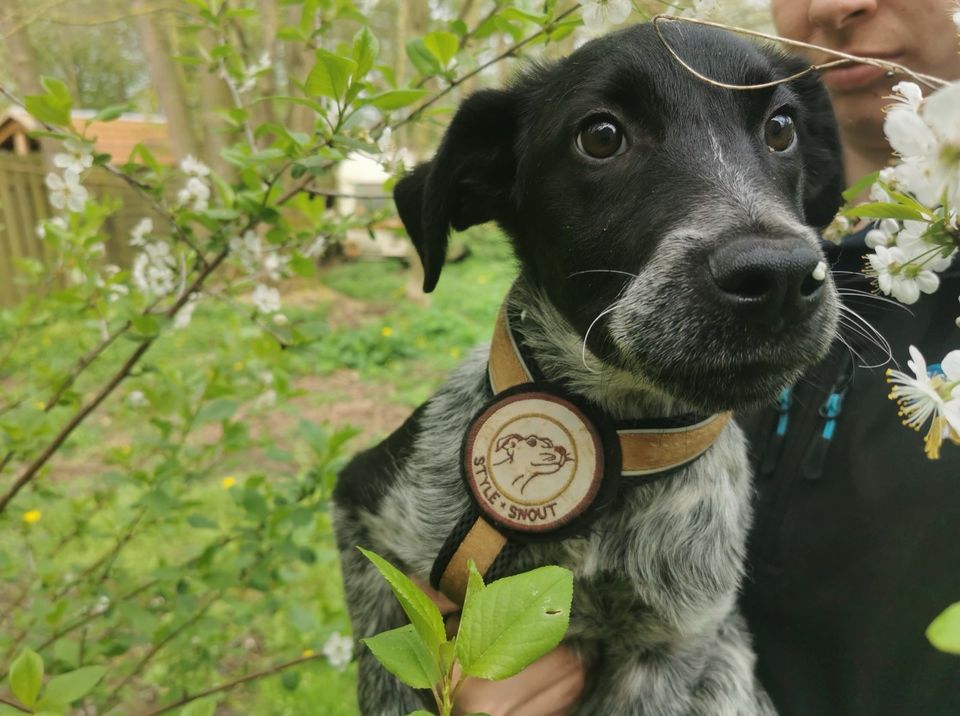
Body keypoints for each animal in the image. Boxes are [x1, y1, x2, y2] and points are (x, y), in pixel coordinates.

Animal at [336, 22, 840, 716]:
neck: (618, 438)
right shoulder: (366, 517)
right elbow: (393, 670)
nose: (781, 279)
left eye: (781, 127)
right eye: (600, 136)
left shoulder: (672, 642)